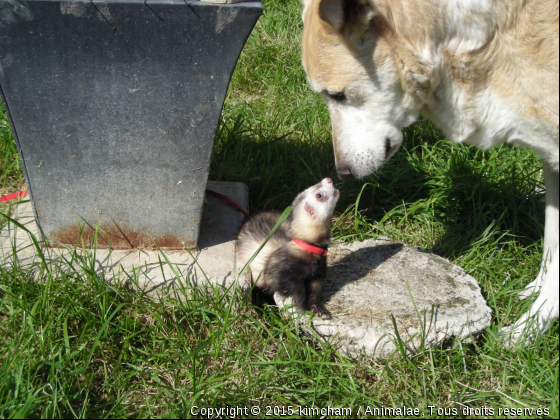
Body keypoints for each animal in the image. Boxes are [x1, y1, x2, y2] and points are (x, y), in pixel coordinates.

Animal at [302, 0, 560, 344]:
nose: (341, 174)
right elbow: (552, 243)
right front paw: (534, 297)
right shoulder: (551, 160)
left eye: (337, 95)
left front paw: (525, 332)